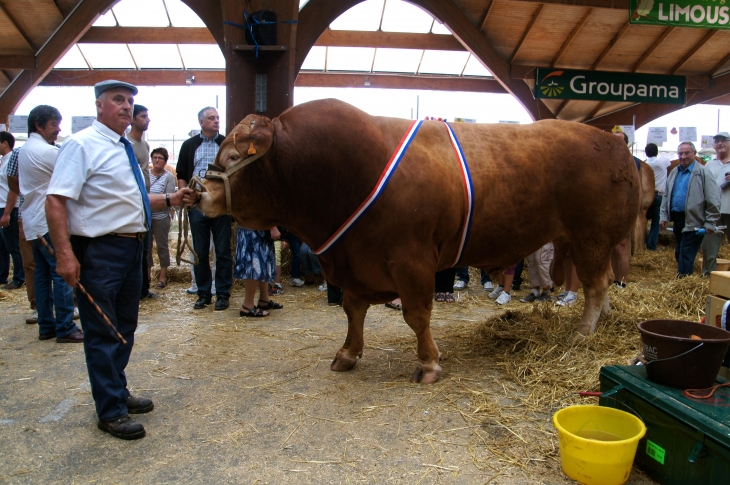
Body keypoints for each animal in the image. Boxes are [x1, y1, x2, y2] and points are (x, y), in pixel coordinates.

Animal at [193, 100, 636, 384]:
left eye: (232, 157)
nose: (198, 194)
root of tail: (612, 140)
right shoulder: (354, 258)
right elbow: (353, 311)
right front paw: (348, 353)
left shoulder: (412, 260)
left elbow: (417, 315)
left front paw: (428, 364)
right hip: (581, 240)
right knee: (602, 282)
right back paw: (604, 322)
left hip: (592, 236)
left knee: (596, 285)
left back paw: (584, 332)